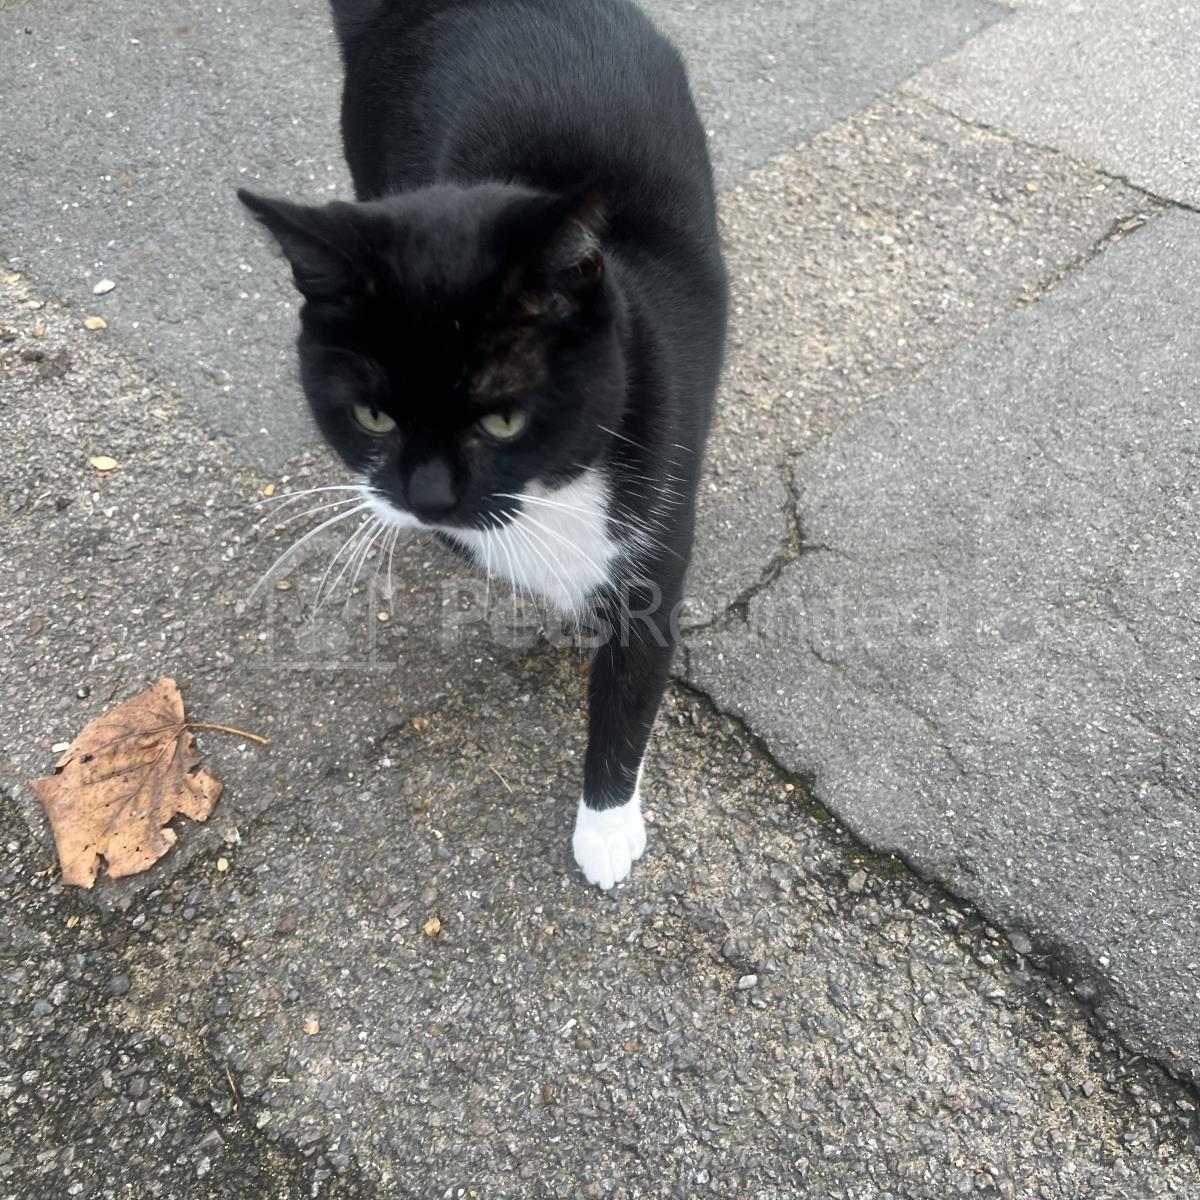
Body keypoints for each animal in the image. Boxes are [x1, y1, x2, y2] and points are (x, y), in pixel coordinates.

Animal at [239, 0, 728, 888]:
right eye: (374, 417)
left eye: (503, 418)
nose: (428, 497)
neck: (554, 492)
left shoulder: (663, 497)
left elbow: (635, 676)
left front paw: (606, 827)